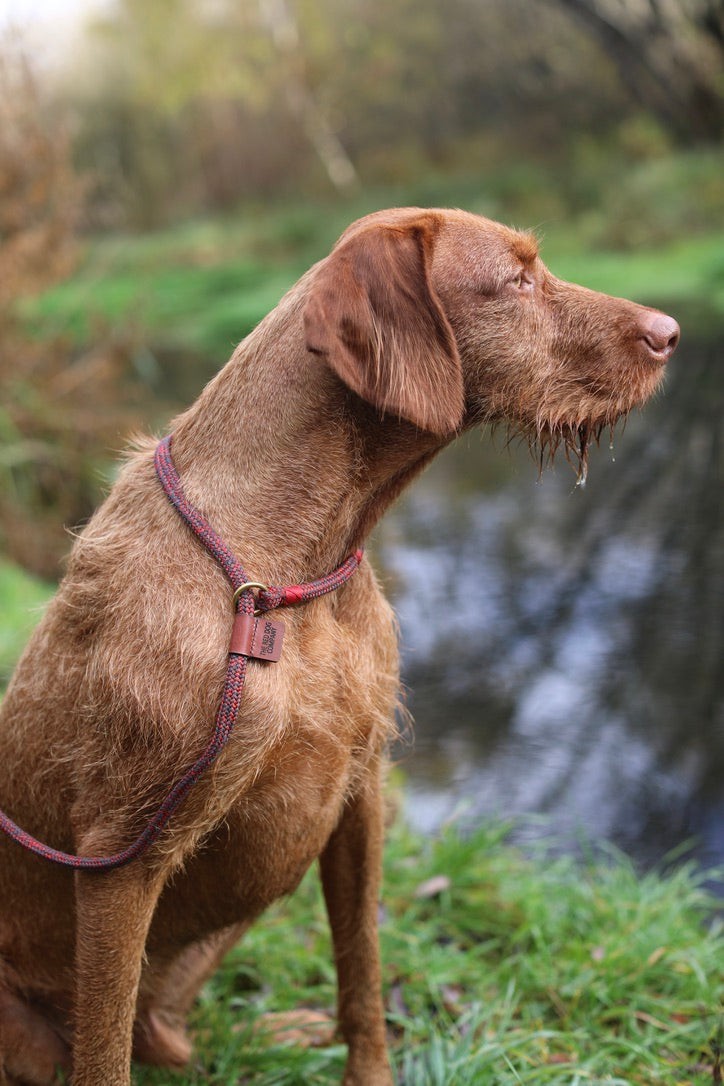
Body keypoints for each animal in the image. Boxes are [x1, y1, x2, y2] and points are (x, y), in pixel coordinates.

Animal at [0, 207, 681, 1081]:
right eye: (517, 279)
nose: (671, 333)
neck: (291, 573)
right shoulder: (122, 855)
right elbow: (104, 1054)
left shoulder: (359, 795)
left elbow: (362, 970)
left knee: (160, 1030)